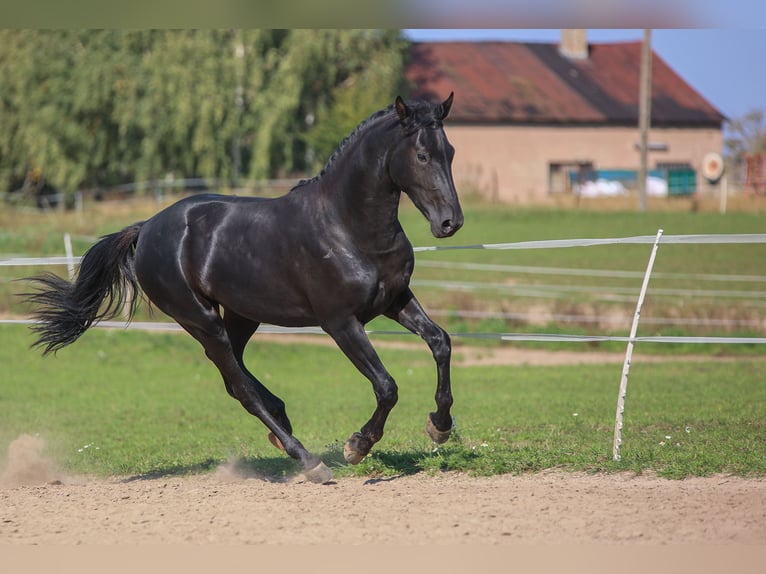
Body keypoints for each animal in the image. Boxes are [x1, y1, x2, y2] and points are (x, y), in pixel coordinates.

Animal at [25, 92, 462, 484]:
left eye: (451, 152)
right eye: (422, 156)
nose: (450, 222)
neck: (347, 226)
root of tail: (146, 228)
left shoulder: (395, 300)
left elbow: (440, 342)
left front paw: (439, 426)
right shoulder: (340, 322)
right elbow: (386, 386)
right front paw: (357, 446)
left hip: (240, 315)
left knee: (236, 378)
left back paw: (280, 423)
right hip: (201, 320)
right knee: (239, 385)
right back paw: (308, 461)